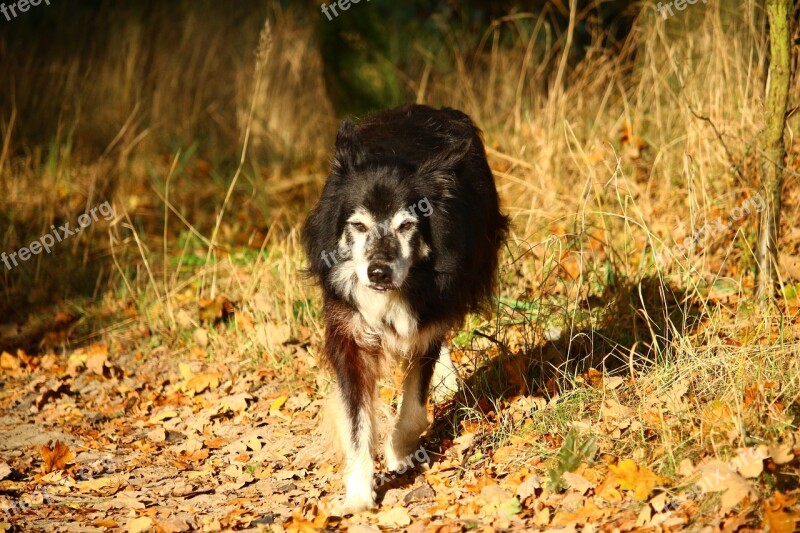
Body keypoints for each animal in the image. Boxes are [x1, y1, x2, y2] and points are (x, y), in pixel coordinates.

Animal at [304, 103, 510, 512]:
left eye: (407, 225)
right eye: (358, 226)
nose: (378, 272)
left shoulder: (430, 314)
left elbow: (414, 405)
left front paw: (399, 452)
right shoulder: (350, 332)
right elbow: (357, 420)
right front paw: (358, 494)